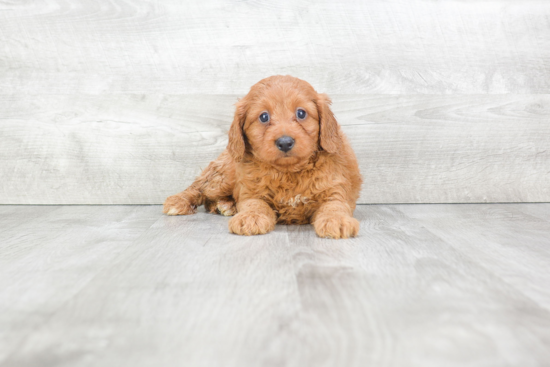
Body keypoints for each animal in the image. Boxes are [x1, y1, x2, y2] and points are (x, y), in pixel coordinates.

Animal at [164, 76, 362, 240]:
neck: (288, 172)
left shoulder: (335, 190)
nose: (285, 142)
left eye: (301, 113)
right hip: (224, 175)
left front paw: (337, 220)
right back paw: (179, 201)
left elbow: (334, 206)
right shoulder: (251, 192)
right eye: (264, 117)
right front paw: (250, 217)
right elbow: (255, 204)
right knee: (200, 187)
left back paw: (226, 205)